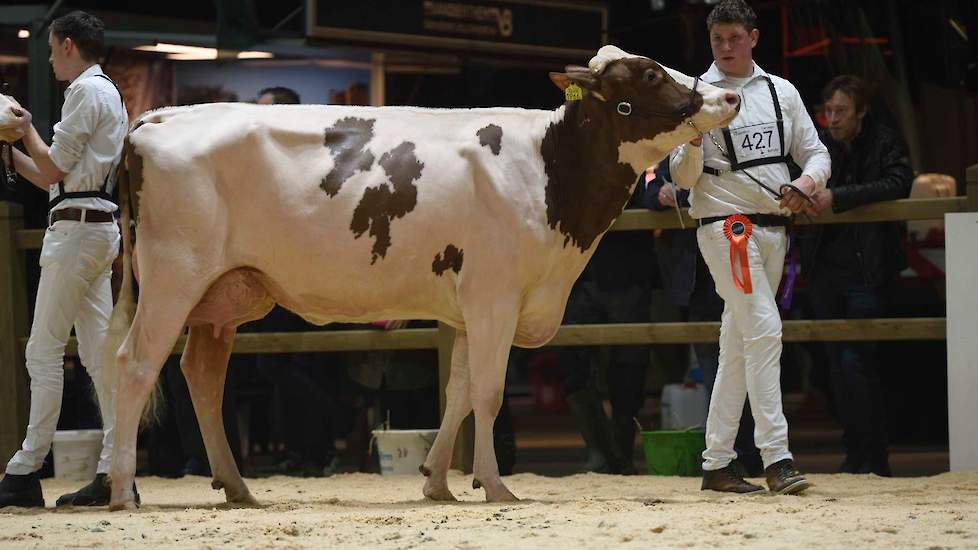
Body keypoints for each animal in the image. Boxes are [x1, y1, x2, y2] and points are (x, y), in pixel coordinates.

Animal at [103, 45, 736, 512]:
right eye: (650, 74)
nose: (728, 94)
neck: (548, 167)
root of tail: (162, 115)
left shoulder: (470, 306)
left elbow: (457, 391)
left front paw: (438, 481)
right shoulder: (494, 296)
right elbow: (489, 391)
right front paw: (496, 486)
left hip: (223, 293)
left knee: (202, 377)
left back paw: (236, 487)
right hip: (172, 278)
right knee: (135, 365)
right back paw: (124, 493)